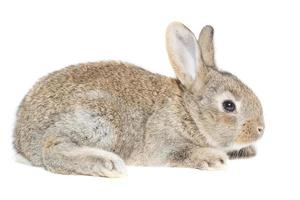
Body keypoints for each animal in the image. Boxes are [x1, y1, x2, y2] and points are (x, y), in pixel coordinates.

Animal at [12, 22, 264, 178]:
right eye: (229, 105)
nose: (261, 129)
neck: (189, 112)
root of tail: (21, 138)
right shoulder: (163, 141)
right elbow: (181, 152)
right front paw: (213, 159)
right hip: (102, 120)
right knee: (51, 149)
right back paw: (108, 165)